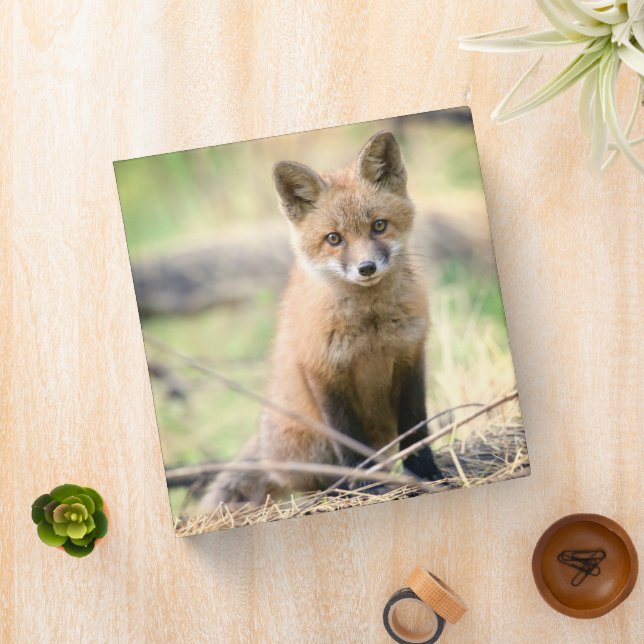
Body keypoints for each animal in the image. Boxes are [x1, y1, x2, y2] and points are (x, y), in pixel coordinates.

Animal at [199, 131, 443, 510]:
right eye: (334, 239)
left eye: (379, 226)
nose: (366, 268)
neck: (370, 329)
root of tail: (266, 446)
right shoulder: (323, 370)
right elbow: (348, 439)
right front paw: (367, 487)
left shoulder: (411, 355)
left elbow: (416, 427)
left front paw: (426, 472)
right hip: (310, 442)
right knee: (314, 482)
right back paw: (339, 489)